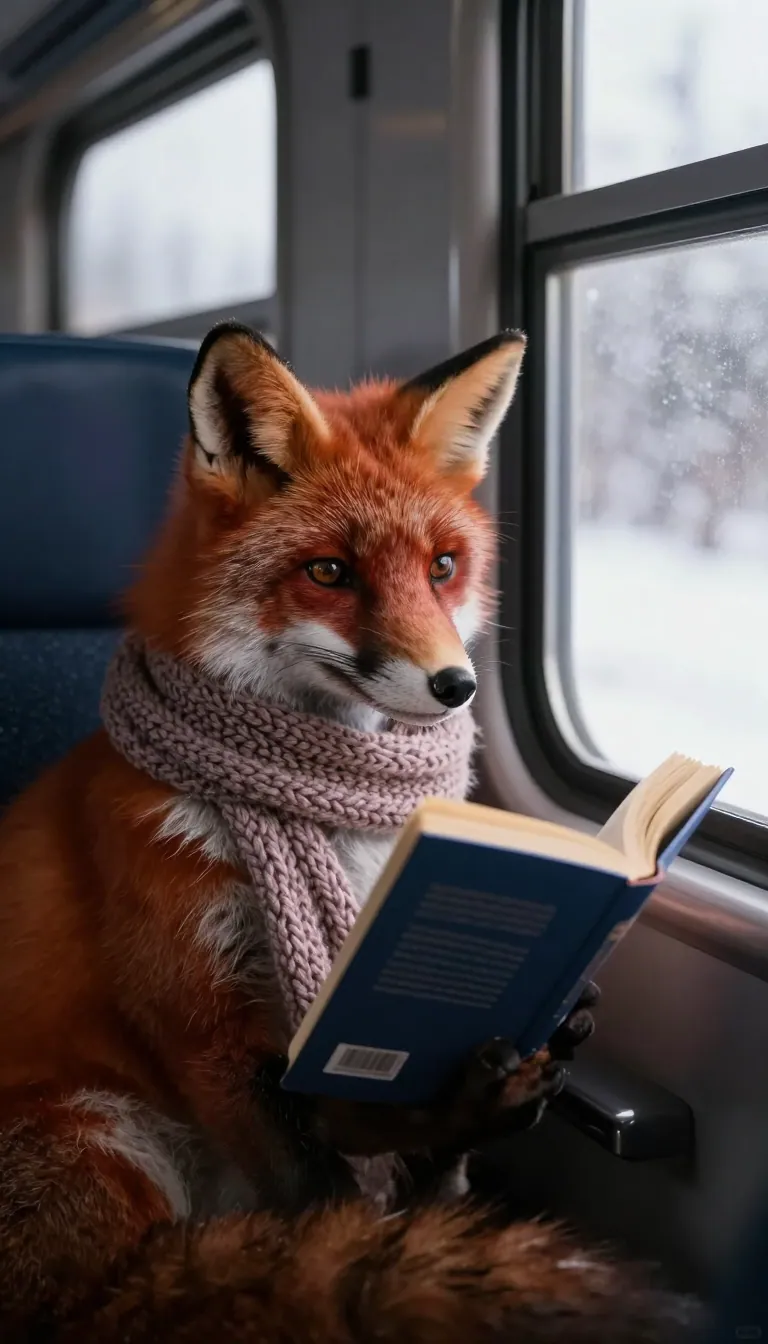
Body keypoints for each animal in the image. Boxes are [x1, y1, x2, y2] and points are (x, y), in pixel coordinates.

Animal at [0, 323, 699, 1342]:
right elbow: (322, 1194)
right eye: (329, 571)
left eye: (443, 565)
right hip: (97, 1137)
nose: (458, 686)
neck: (334, 818)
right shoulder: (204, 1024)